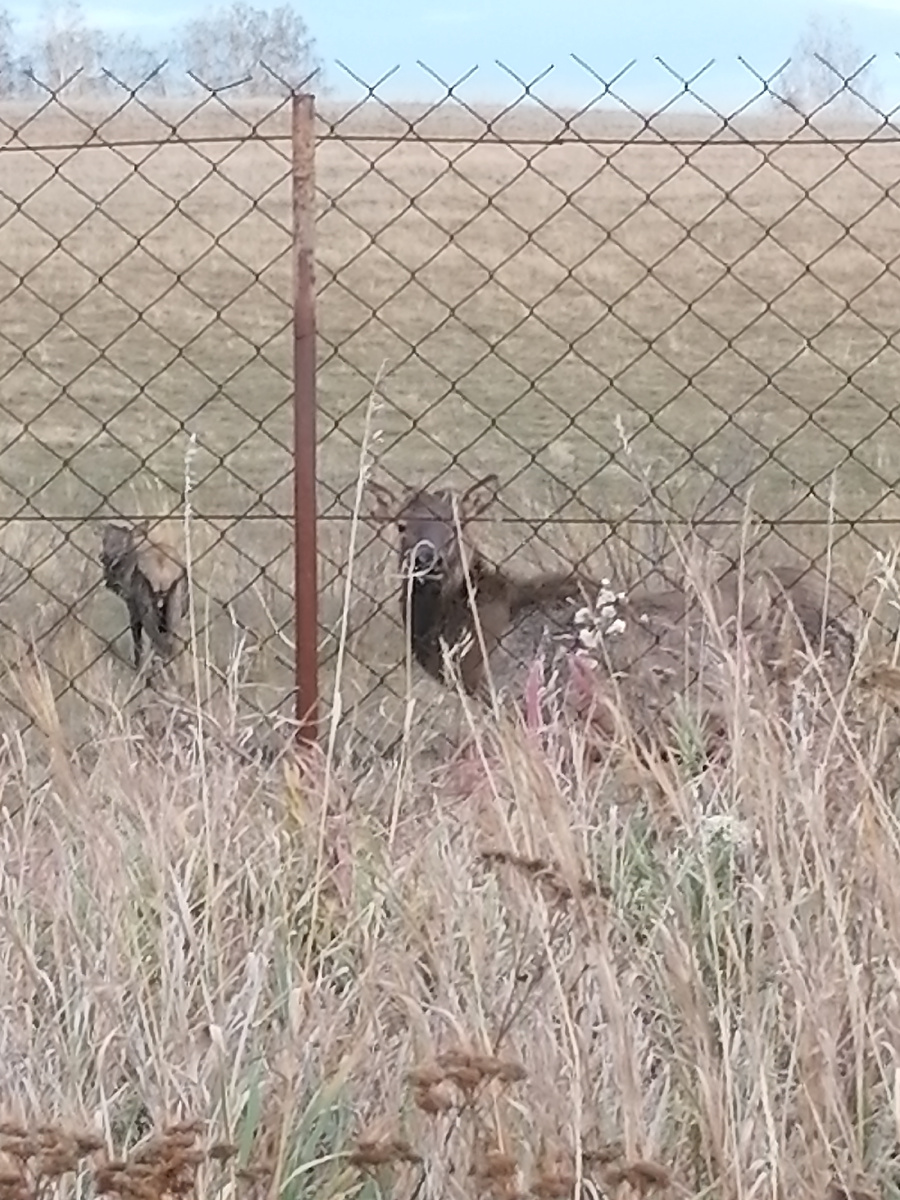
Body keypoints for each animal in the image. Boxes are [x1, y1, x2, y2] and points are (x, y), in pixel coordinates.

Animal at [99, 518, 187, 672]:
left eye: (124, 542)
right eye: (104, 539)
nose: (104, 557)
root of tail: (162, 570)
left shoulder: (131, 605)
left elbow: (137, 639)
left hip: (145, 602)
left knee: (160, 643)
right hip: (174, 601)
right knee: (170, 643)